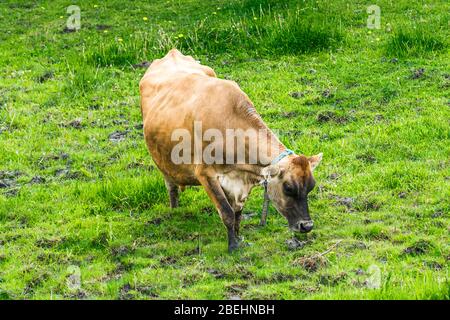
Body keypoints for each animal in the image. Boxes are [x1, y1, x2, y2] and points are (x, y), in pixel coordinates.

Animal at [139, 48, 322, 252]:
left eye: (311, 186)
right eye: (288, 188)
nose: (306, 226)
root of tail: (172, 53)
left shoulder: (241, 181)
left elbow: (237, 214)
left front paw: (238, 236)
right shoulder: (205, 175)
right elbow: (226, 211)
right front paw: (233, 246)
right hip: (163, 162)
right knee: (171, 186)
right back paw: (174, 210)